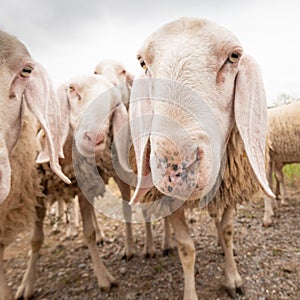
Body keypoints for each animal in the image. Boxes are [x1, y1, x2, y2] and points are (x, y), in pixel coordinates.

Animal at [75, 18, 274, 300]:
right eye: (142, 63)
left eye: (234, 56)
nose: (175, 166)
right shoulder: (169, 197)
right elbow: (186, 248)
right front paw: (190, 289)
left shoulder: (230, 188)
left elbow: (227, 231)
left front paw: (233, 278)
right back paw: (143, 247)